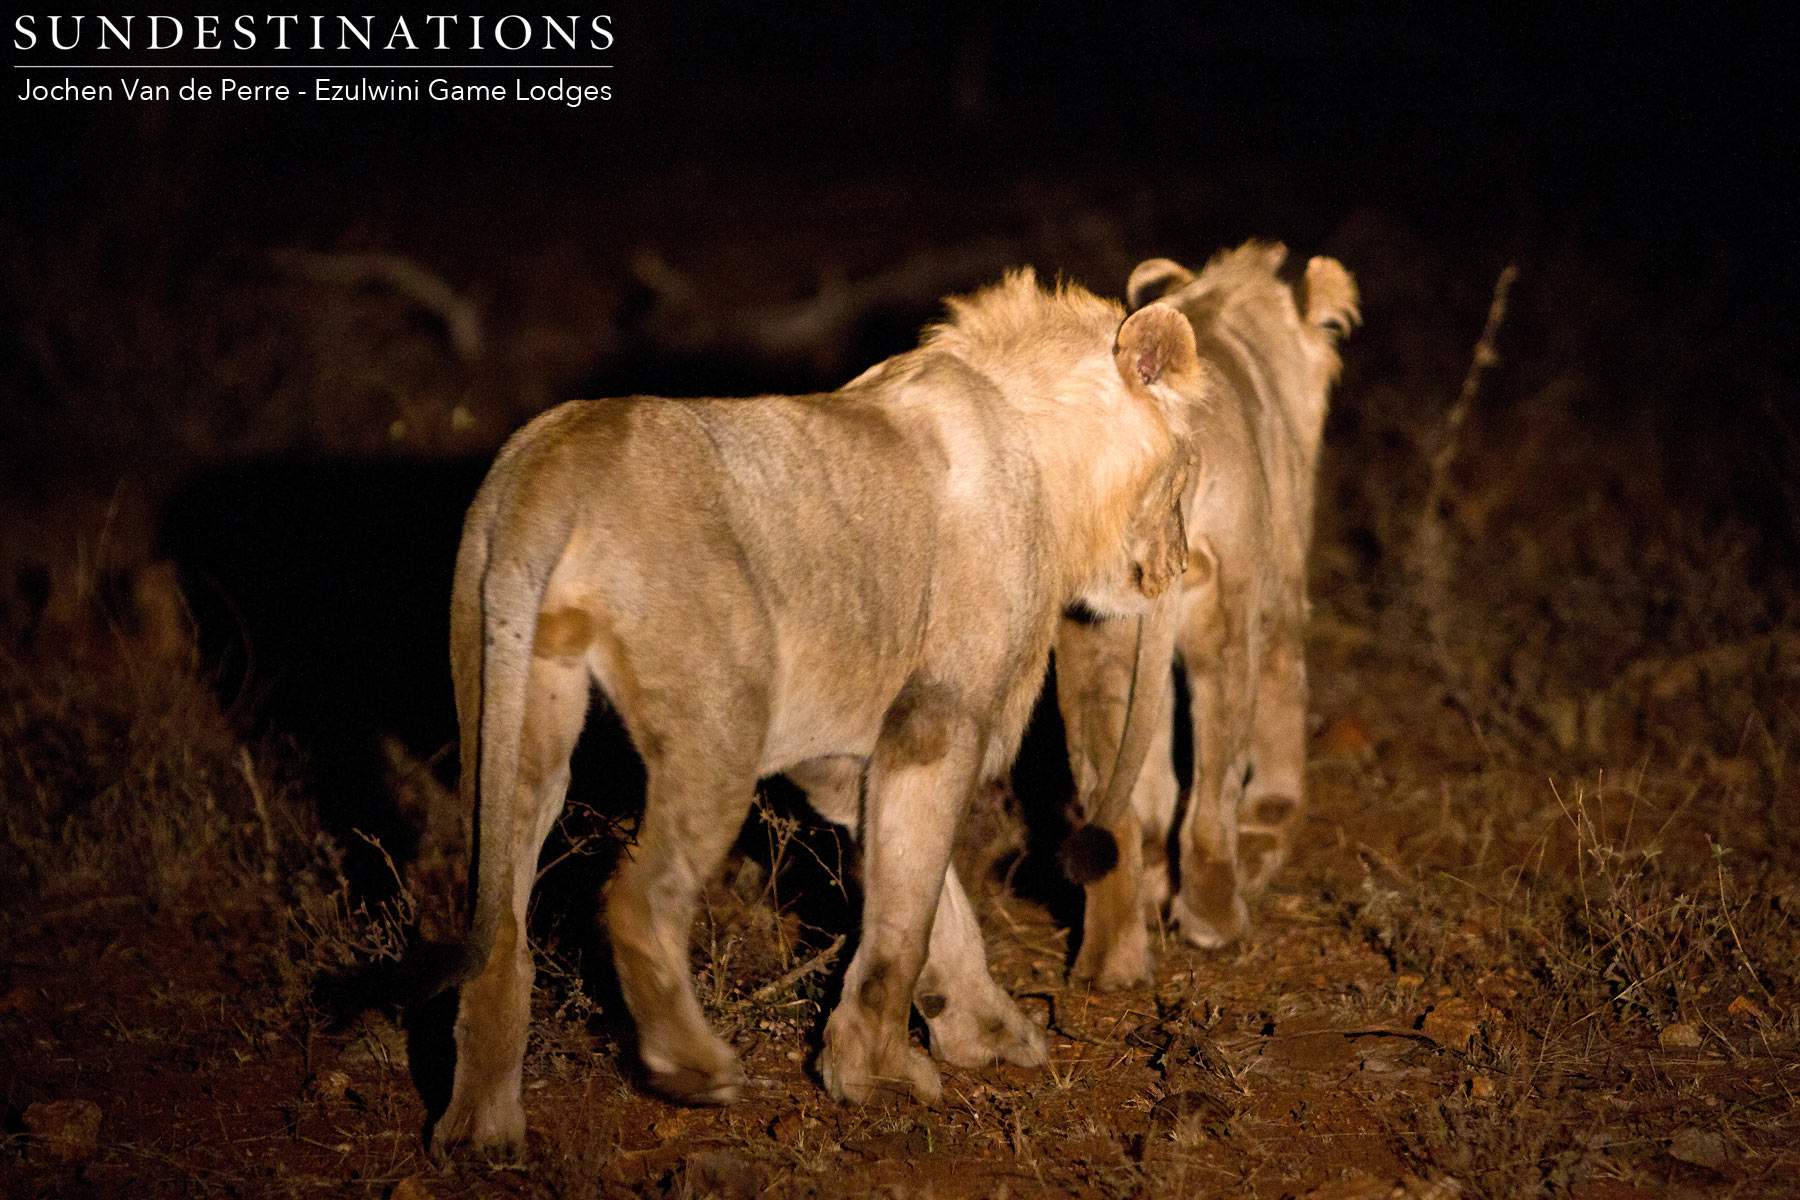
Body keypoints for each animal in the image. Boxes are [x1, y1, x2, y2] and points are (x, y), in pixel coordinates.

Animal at [431, 270, 1211, 1156]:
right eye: (1185, 472)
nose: (1179, 565)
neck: (1043, 454)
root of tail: (554, 467)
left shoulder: (846, 759)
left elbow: (932, 901)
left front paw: (982, 1033)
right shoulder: (938, 720)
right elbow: (908, 917)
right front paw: (877, 1073)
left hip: (510, 712)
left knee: (500, 918)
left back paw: (479, 1130)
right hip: (721, 719)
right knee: (637, 898)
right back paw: (697, 1067)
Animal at [1054, 242, 1359, 989]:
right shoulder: (1279, 590)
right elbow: (1279, 713)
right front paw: (1272, 825)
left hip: (1092, 638)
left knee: (1116, 807)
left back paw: (1110, 963)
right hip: (1230, 611)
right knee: (1214, 788)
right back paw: (1215, 918)